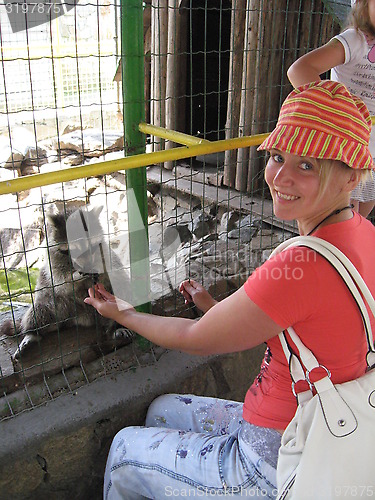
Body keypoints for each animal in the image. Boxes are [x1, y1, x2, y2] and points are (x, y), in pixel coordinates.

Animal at [5, 202, 134, 360]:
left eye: (92, 246)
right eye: (74, 250)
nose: (86, 266)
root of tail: (84, 318)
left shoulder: (105, 253)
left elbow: (111, 268)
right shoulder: (53, 261)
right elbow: (60, 280)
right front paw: (74, 276)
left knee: (123, 290)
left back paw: (118, 325)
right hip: (55, 304)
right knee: (41, 307)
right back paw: (32, 333)